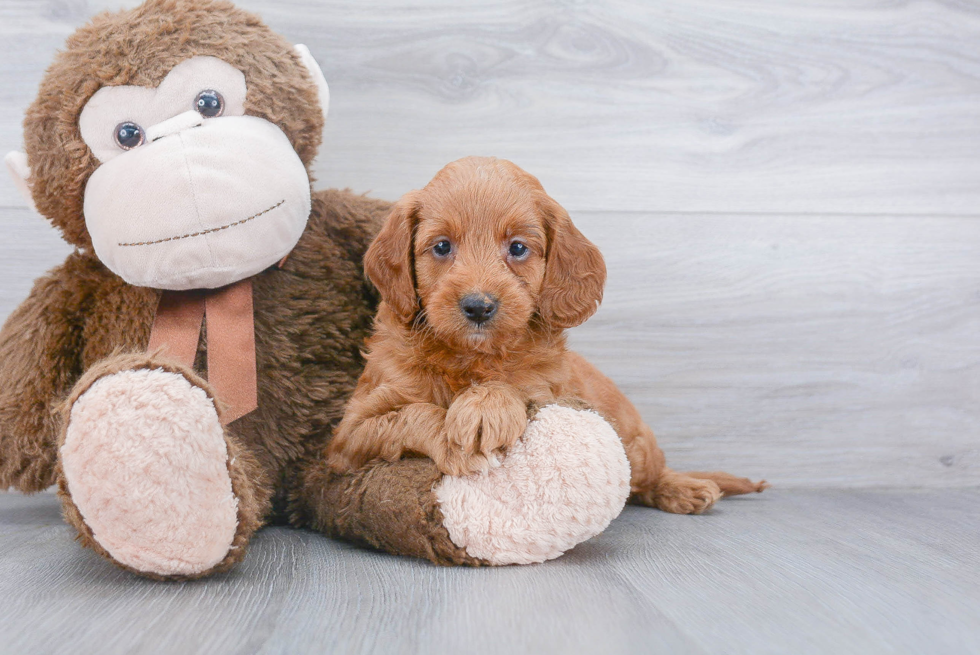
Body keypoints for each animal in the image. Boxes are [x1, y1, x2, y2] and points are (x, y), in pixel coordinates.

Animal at [330, 158, 764, 512]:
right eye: (441, 247)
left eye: (518, 248)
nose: (478, 306)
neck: (470, 358)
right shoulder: (348, 438)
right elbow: (411, 413)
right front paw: (454, 436)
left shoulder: (547, 388)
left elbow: (514, 384)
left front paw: (484, 408)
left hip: (635, 444)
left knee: (649, 477)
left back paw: (685, 488)